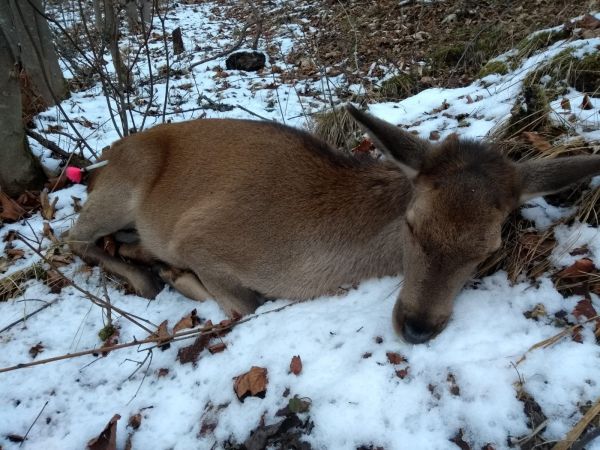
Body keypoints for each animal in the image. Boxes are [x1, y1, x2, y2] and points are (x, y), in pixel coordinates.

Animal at [65, 104, 600, 344]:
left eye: (487, 249)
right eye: (411, 225)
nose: (417, 326)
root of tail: (105, 156)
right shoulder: (196, 236)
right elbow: (246, 304)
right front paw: (178, 276)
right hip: (121, 187)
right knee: (69, 237)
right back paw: (146, 274)